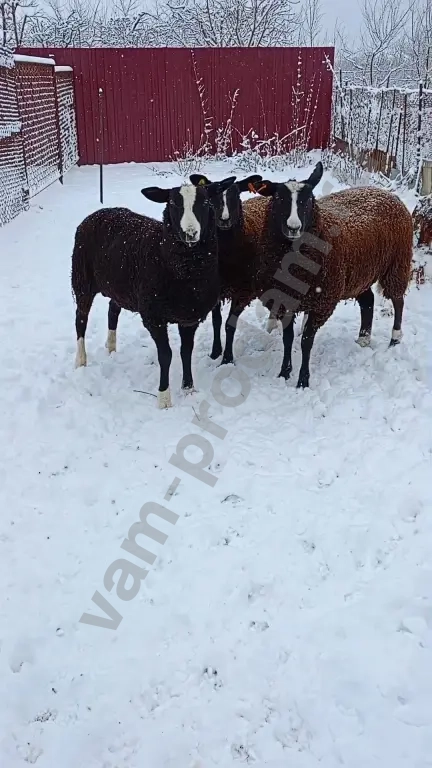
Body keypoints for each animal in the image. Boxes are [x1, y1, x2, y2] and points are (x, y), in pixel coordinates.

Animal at [71, 177, 235, 408]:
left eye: (205, 203)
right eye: (173, 204)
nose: (190, 233)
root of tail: (99, 212)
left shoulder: (189, 316)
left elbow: (186, 351)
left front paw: (188, 388)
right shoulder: (154, 316)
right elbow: (166, 355)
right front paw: (164, 398)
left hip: (119, 287)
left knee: (113, 310)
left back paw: (111, 347)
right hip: (82, 279)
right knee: (81, 319)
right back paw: (81, 360)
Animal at [189, 172, 262, 360]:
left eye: (236, 195)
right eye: (211, 196)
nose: (224, 219)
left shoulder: (243, 291)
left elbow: (230, 325)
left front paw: (227, 358)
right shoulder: (215, 288)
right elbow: (217, 321)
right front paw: (215, 351)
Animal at [217, 161, 413, 388]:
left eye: (308, 199)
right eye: (279, 198)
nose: (293, 228)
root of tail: (386, 193)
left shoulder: (322, 301)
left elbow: (306, 342)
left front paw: (303, 380)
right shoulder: (285, 298)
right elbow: (288, 338)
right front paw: (285, 372)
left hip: (397, 262)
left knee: (398, 300)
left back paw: (395, 338)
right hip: (358, 275)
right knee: (368, 301)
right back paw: (363, 338)